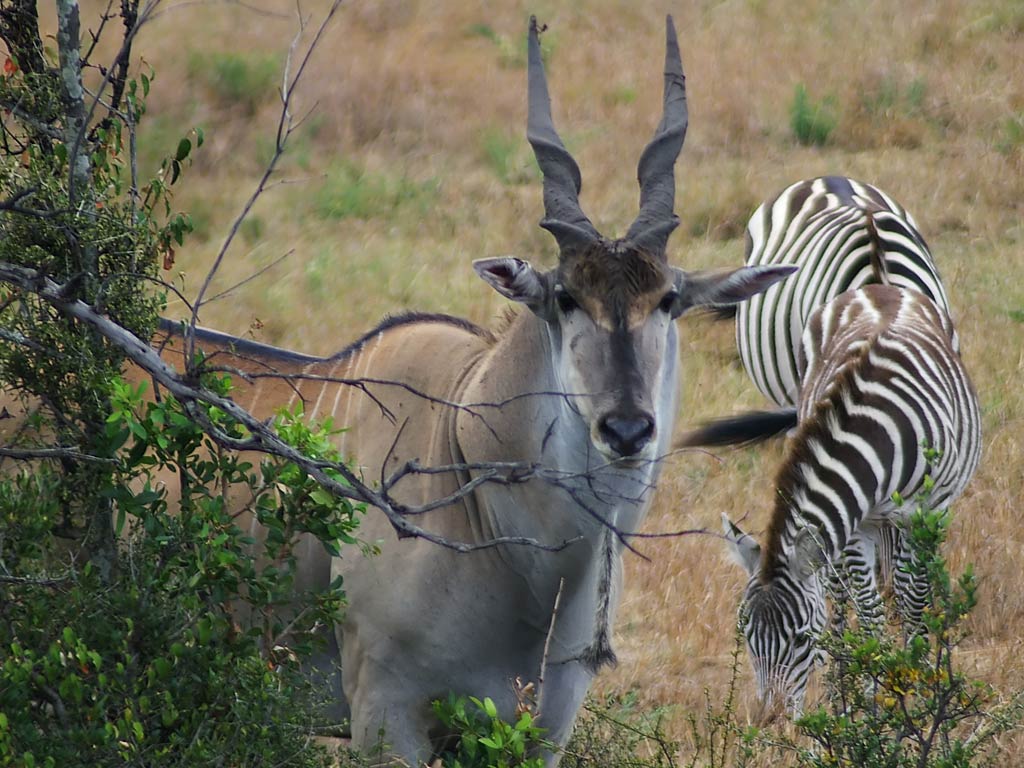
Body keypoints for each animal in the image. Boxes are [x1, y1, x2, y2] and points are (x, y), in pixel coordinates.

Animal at [716, 286, 978, 720]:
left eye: (801, 639)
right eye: (746, 637)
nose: (771, 719)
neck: (876, 438)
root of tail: (879, 288)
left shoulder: (926, 513)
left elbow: (915, 601)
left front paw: (917, 686)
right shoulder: (857, 522)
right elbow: (868, 612)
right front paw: (871, 695)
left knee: (903, 585)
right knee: (839, 593)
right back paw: (841, 681)